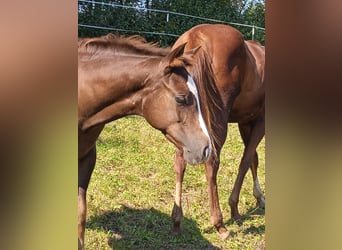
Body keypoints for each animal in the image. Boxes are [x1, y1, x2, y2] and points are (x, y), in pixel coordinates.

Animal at [172, 23, 266, 238]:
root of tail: (196, 36)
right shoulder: (260, 121)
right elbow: (246, 160)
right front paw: (235, 207)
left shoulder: (245, 122)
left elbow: (253, 159)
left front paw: (259, 198)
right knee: (212, 162)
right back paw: (219, 223)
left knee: (180, 162)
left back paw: (177, 220)